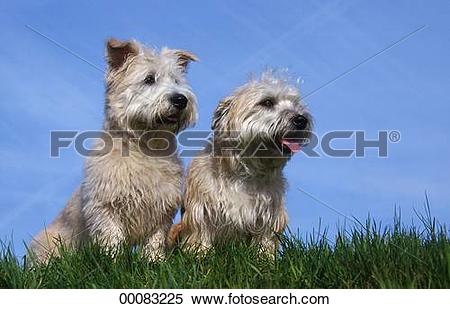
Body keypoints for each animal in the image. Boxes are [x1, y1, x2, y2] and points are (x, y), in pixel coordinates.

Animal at [31, 37, 199, 262]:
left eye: (176, 81)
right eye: (149, 79)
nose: (180, 99)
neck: (145, 147)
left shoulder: (161, 210)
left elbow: (154, 242)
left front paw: (154, 262)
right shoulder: (106, 209)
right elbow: (112, 239)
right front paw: (115, 262)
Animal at [171, 71, 312, 255]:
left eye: (296, 104)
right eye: (267, 102)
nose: (301, 119)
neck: (244, 172)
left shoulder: (268, 216)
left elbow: (264, 242)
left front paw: (264, 259)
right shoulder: (201, 212)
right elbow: (201, 238)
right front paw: (201, 257)